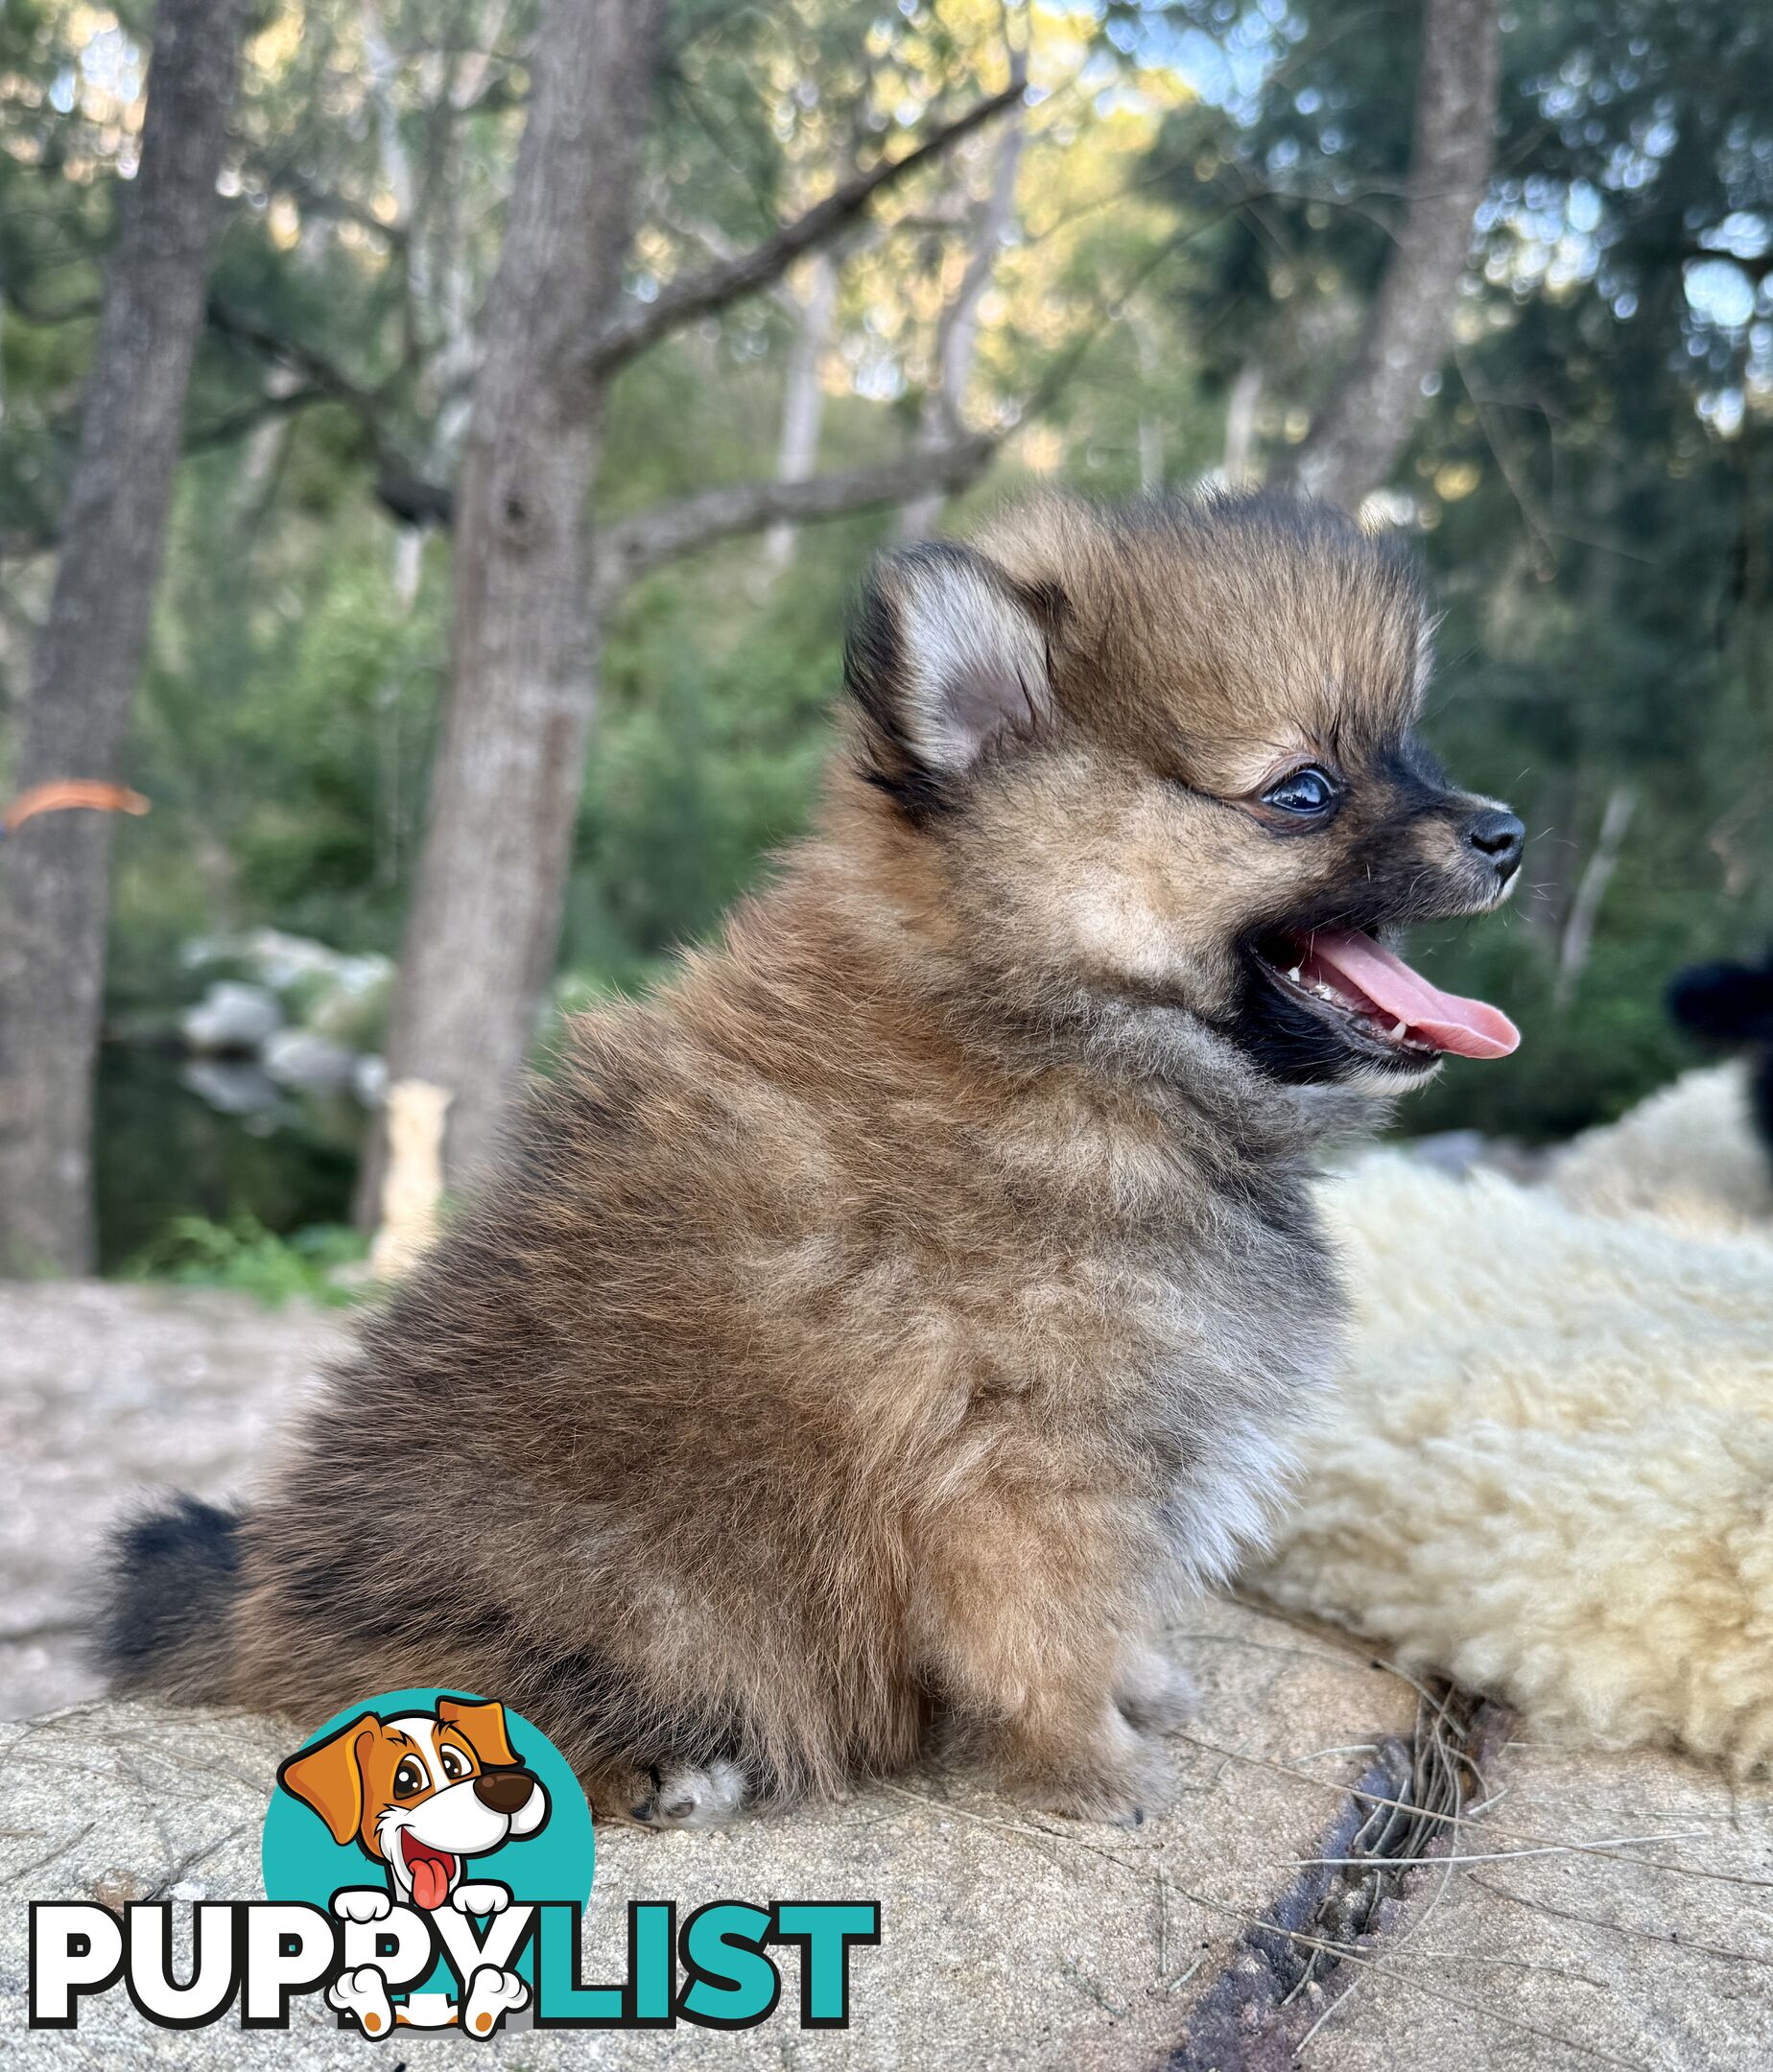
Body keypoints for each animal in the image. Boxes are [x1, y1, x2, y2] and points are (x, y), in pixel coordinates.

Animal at [104, 497, 1524, 1831]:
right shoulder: (1023, 1468)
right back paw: (669, 1765)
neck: (1054, 1040)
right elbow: (1052, 1637)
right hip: (623, 1590)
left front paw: (1146, 1688)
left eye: (1413, 753)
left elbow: (1115, 1612)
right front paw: (1094, 1765)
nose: (1507, 829)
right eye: (1305, 789)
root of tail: (264, 1597)